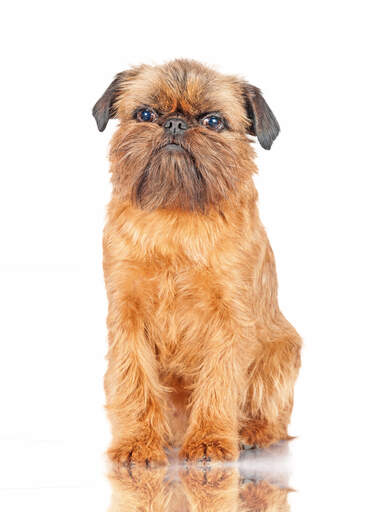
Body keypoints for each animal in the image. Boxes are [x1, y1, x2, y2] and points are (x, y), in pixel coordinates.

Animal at [92, 59, 302, 464]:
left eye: (213, 121)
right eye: (146, 114)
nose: (175, 123)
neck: (177, 213)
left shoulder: (230, 320)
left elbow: (219, 381)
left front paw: (209, 442)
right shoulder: (127, 315)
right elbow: (133, 379)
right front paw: (137, 443)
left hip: (281, 353)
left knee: (274, 417)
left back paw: (250, 433)